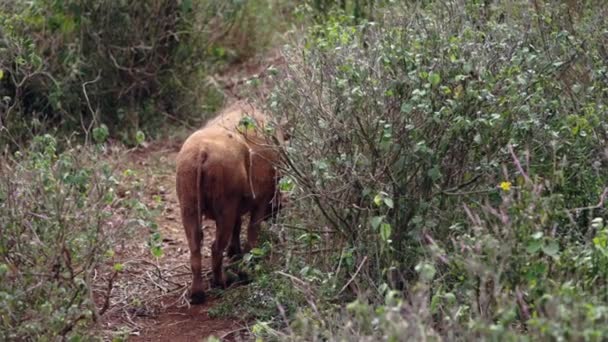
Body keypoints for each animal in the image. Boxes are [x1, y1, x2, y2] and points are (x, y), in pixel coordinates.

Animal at [175, 102, 282, 304]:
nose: (277, 210)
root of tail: (202, 151)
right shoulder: (260, 201)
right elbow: (252, 230)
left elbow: (238, 226)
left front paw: (235, 253)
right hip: (224, 209)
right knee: (216, 247)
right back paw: (222, 282)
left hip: (188, 205)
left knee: (195, 248)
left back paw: (197, 295)